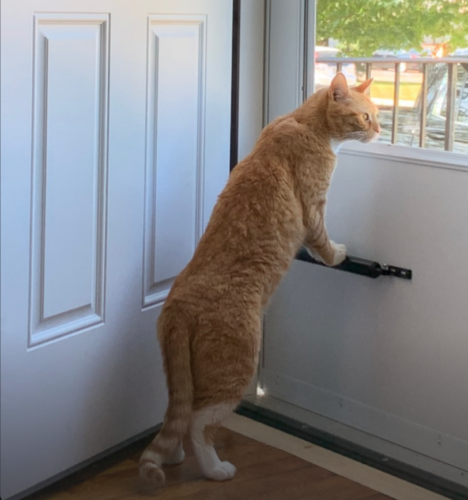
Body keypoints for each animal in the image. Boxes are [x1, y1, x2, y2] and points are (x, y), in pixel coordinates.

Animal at [139, 73, 380, 484]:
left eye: (378, 116)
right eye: (365, 117)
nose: (379, 130)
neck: (305, 124)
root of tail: (176, 308)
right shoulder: (313, 206)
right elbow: (321, 240)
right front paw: (336, 255)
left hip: (181, 373)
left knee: (180, 412)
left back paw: (173, 456)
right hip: (237, 365)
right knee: (198, 422)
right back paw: (215, 468)